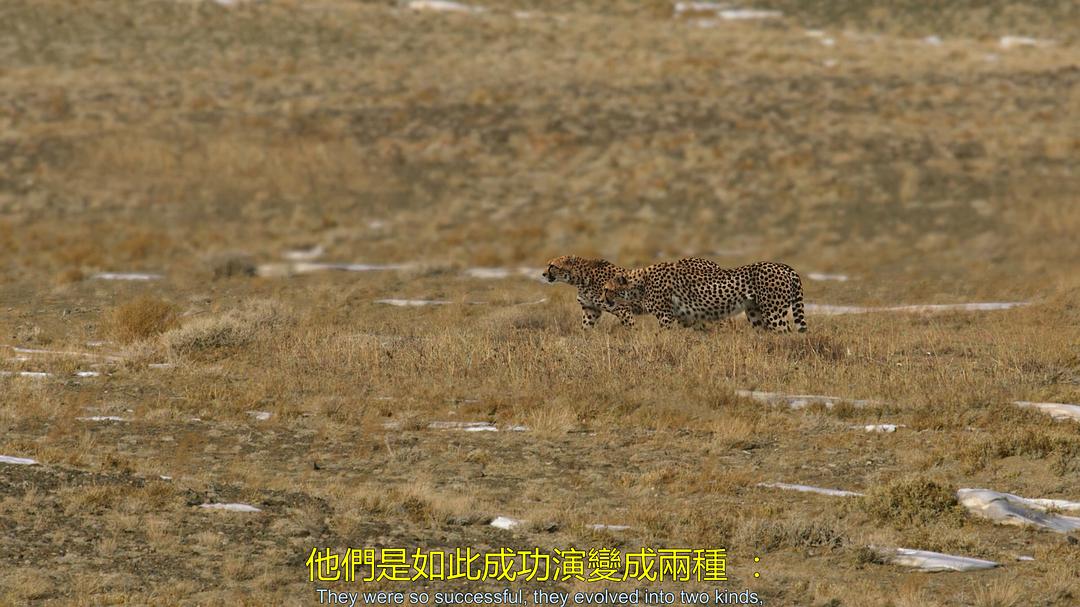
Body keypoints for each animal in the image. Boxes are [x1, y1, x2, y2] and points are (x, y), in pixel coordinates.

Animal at [604, 254, 807, 330]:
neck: (640, 282)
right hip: (755, 313)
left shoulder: (666, 316)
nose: (603, 299)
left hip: (773, 313)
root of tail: (784, 266)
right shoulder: (687, 317)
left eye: (606, 289)